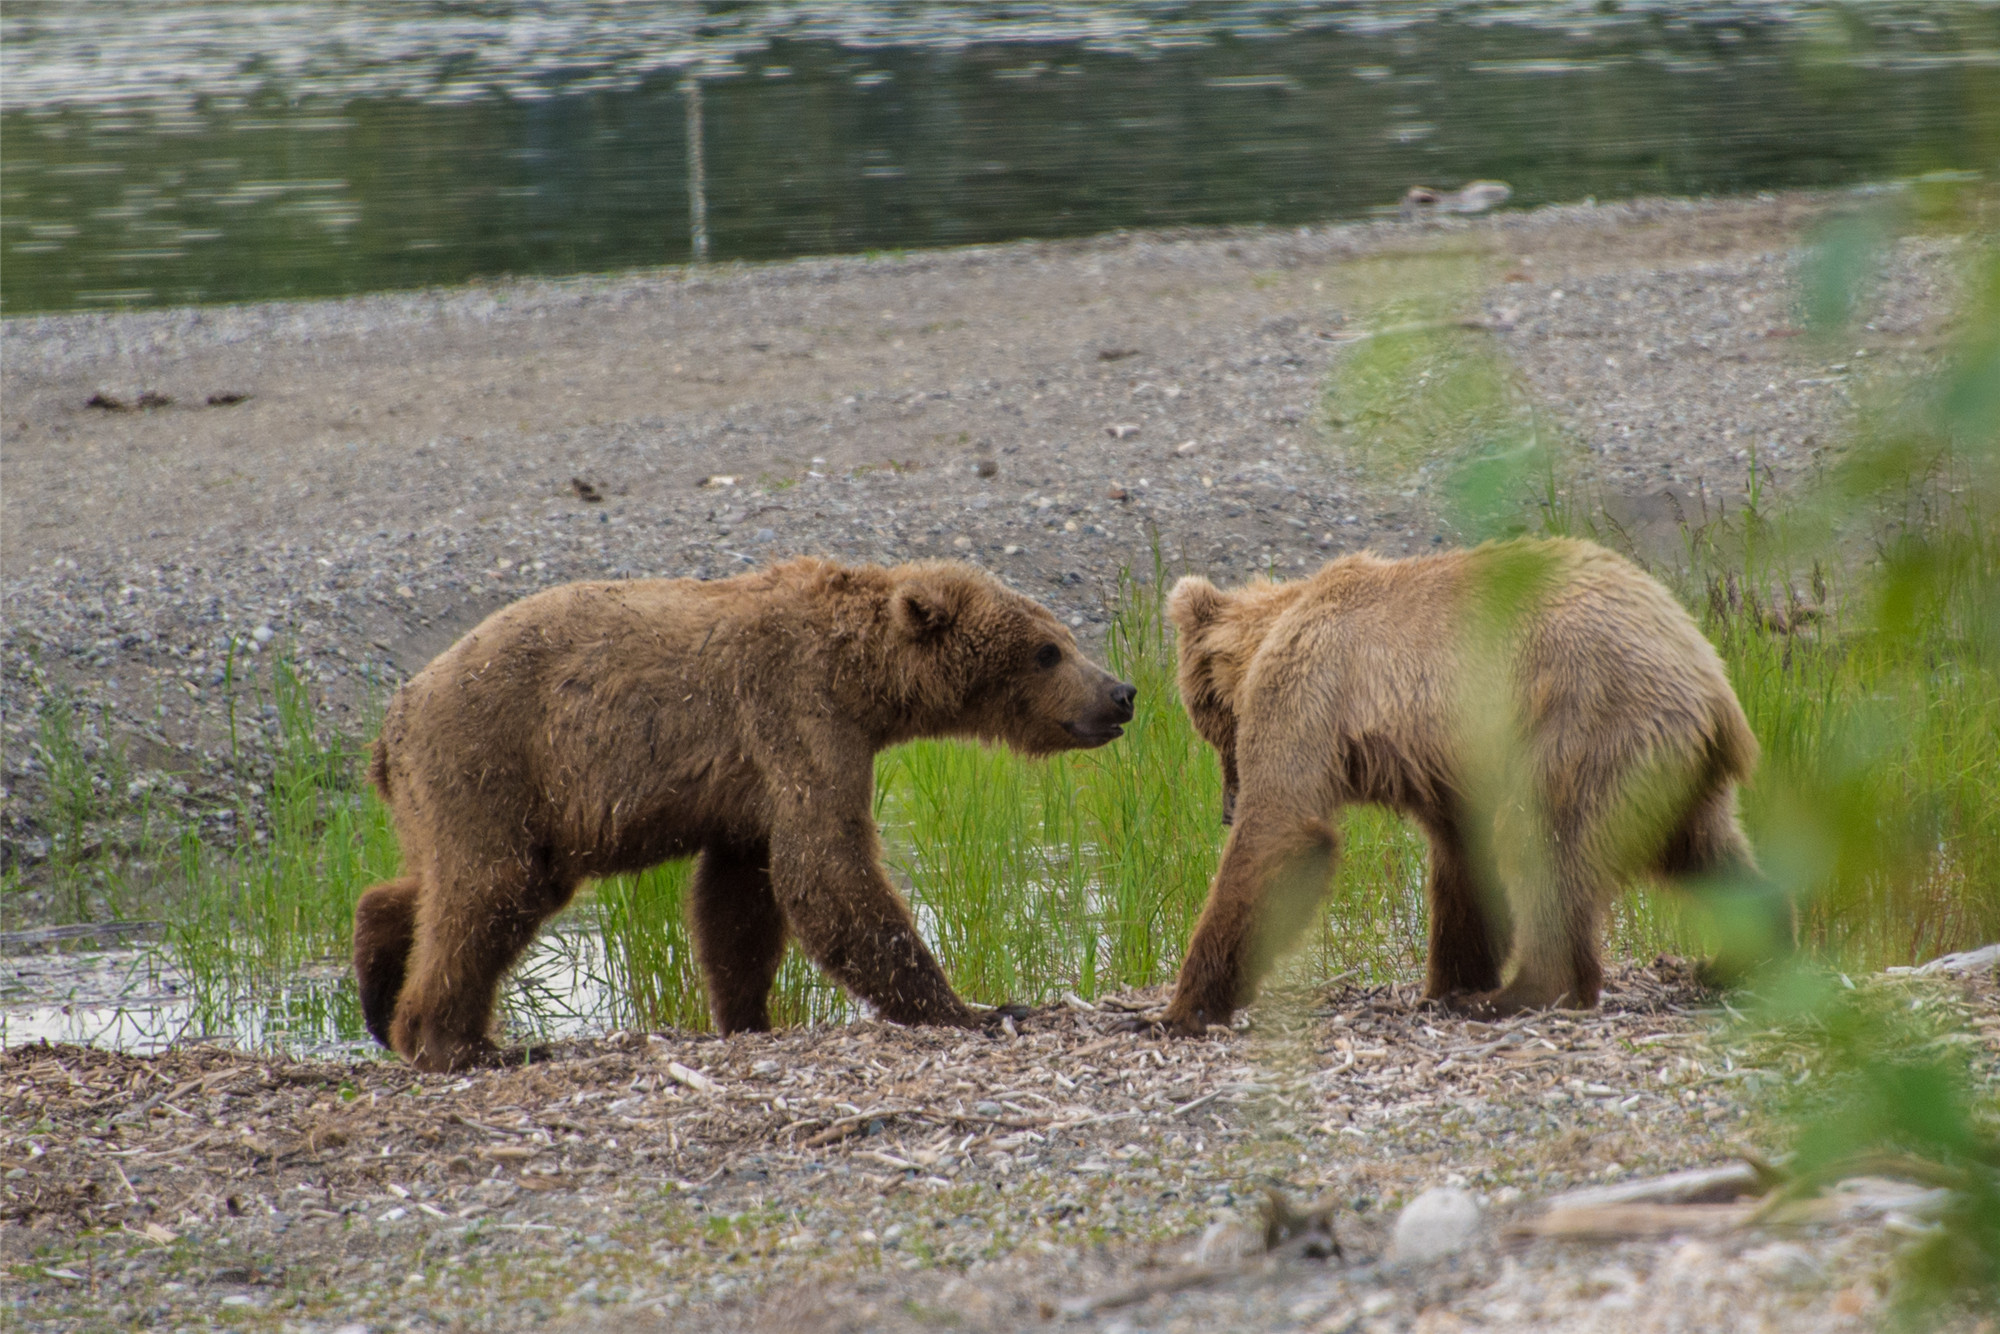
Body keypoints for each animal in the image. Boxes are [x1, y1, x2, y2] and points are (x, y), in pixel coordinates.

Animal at [352, 560, 1136, 1072]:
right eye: (1047, 650)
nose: (1121, 692)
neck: (863, 678)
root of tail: (392, 723)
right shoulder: (796, 713)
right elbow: (826, 869)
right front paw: (975, 1007)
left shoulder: (752, 783)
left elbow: (741, 899)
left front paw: (747, 1016)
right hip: (495, 758)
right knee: (487, 892)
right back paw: (459, 1042)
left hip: (484, 799)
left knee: (443, 883)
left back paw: (376, 984)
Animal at [1168, 536, 1792, 1032]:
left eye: (1207, 722)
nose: (1226, 808)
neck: (1277, 624)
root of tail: (1712, 685)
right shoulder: (1449, 760)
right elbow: (1464, 861)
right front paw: (1451, 980)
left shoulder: (1311, 687)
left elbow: (1282, 830)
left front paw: (1185, 1007)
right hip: (1666, 770)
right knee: (1703, 850)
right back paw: (1743, 953)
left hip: (1586, 723)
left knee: (1545, 844)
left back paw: (1522, 993)